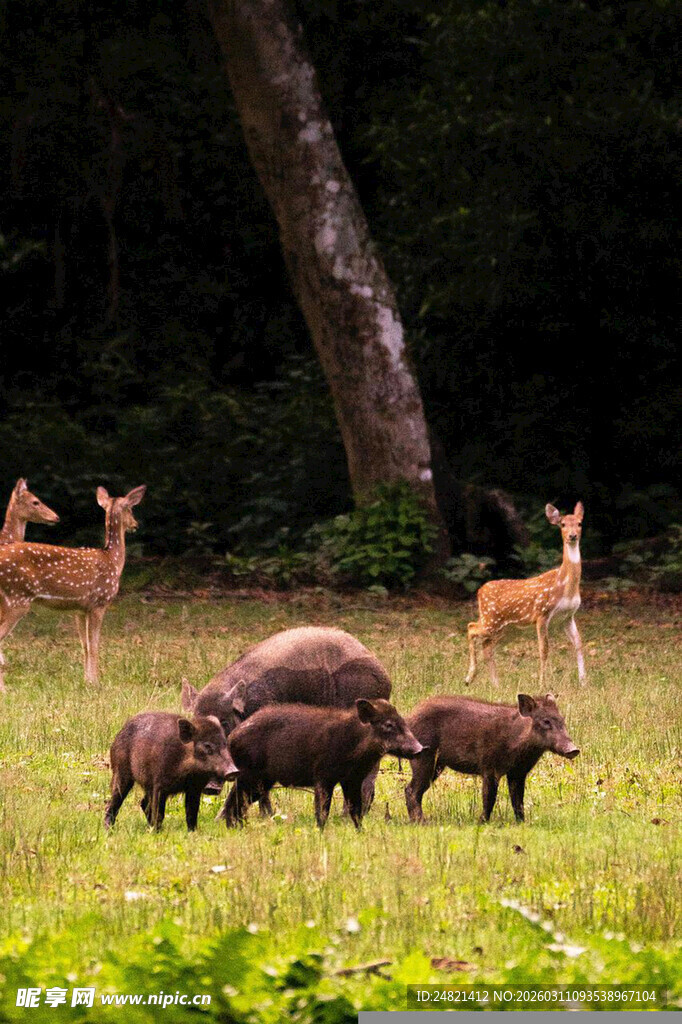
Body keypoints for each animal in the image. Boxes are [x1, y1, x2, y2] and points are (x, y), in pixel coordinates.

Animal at [0, 485, 145, 690]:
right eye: (131, 509)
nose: (135, 524)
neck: (113, 559)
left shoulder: (79, 609)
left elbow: (84, 646)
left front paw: (87, 681)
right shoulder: (99, 603)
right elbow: (94, 645)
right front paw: (96, 683)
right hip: (17, 598)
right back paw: (4, 689)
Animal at [466, 502, 586, 686]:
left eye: (579, 523)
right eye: (563, 524)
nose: (572, 536)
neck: (565, 586)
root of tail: (480, 590)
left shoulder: (568, 616)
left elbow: (579, 644)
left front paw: (584, 682)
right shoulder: (542, 612)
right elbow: (544, 649)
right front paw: (543, 684)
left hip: (504, 627)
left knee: (486, 646)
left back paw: (496, 684)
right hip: (491, 620)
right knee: (471, 628)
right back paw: (469, 677)